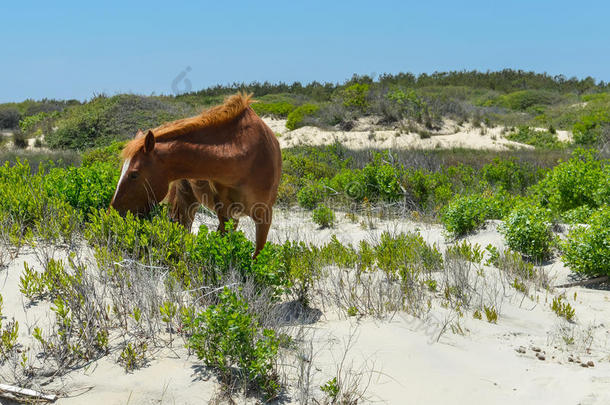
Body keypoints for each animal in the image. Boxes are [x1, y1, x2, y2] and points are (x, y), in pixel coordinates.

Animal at [109, 93, 280, 254]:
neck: (247, 156)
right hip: (188, 202)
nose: (113, 214)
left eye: (134, 174)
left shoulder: (264, 216)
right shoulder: (225, 213)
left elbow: (256, 255)